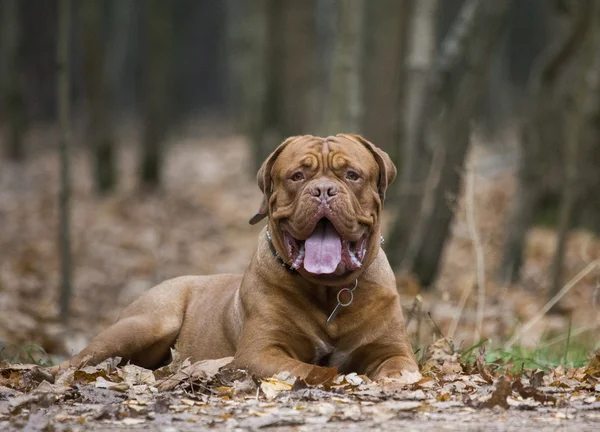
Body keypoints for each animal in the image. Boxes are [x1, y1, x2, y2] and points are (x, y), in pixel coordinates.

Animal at [54, 134, 420, 382]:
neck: (330, 292)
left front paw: (391, 382)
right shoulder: (260, 352)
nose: (324, 191)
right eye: (298, 176)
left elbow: (400, 368)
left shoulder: (393, 349)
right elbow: (314, 370)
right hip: (147, 322)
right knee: (79, 359)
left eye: (352, 175)